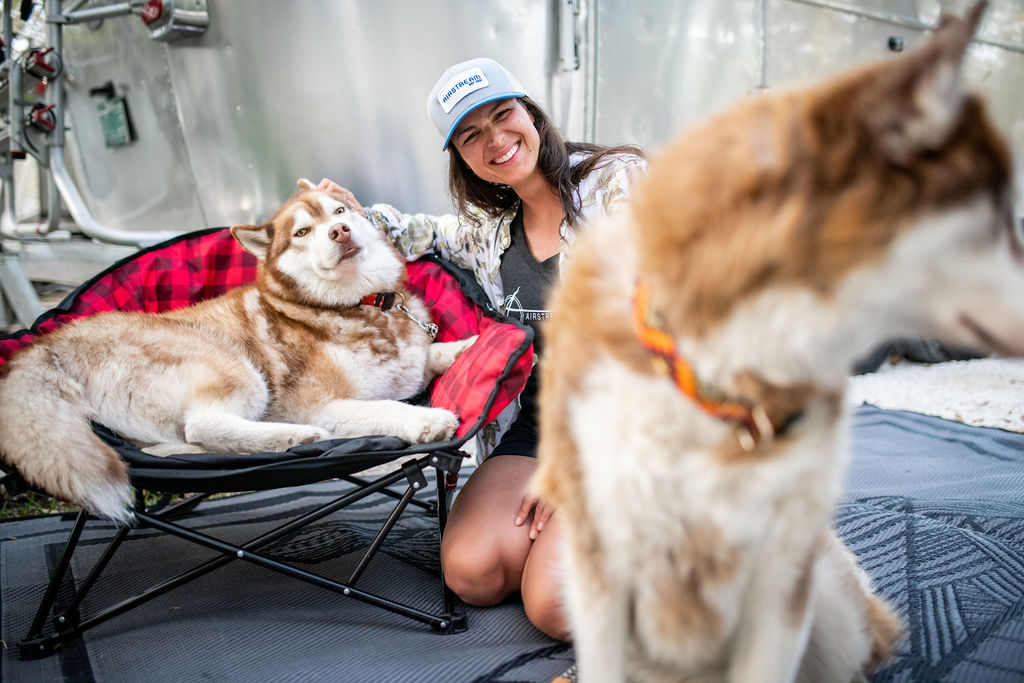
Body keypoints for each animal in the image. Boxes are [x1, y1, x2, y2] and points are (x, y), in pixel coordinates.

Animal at [0, 180, 475, 524]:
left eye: (339, 212)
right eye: (302, 232)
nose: (339, 231)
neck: (360, 305)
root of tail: (52, 341)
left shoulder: (409, 358)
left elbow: (430, 354)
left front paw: (469, 345)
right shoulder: (318, 404)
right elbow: (385, 406)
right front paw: (426, 420)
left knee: (172, 447)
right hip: (234, 368)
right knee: (203, 424)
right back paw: (295, 439)